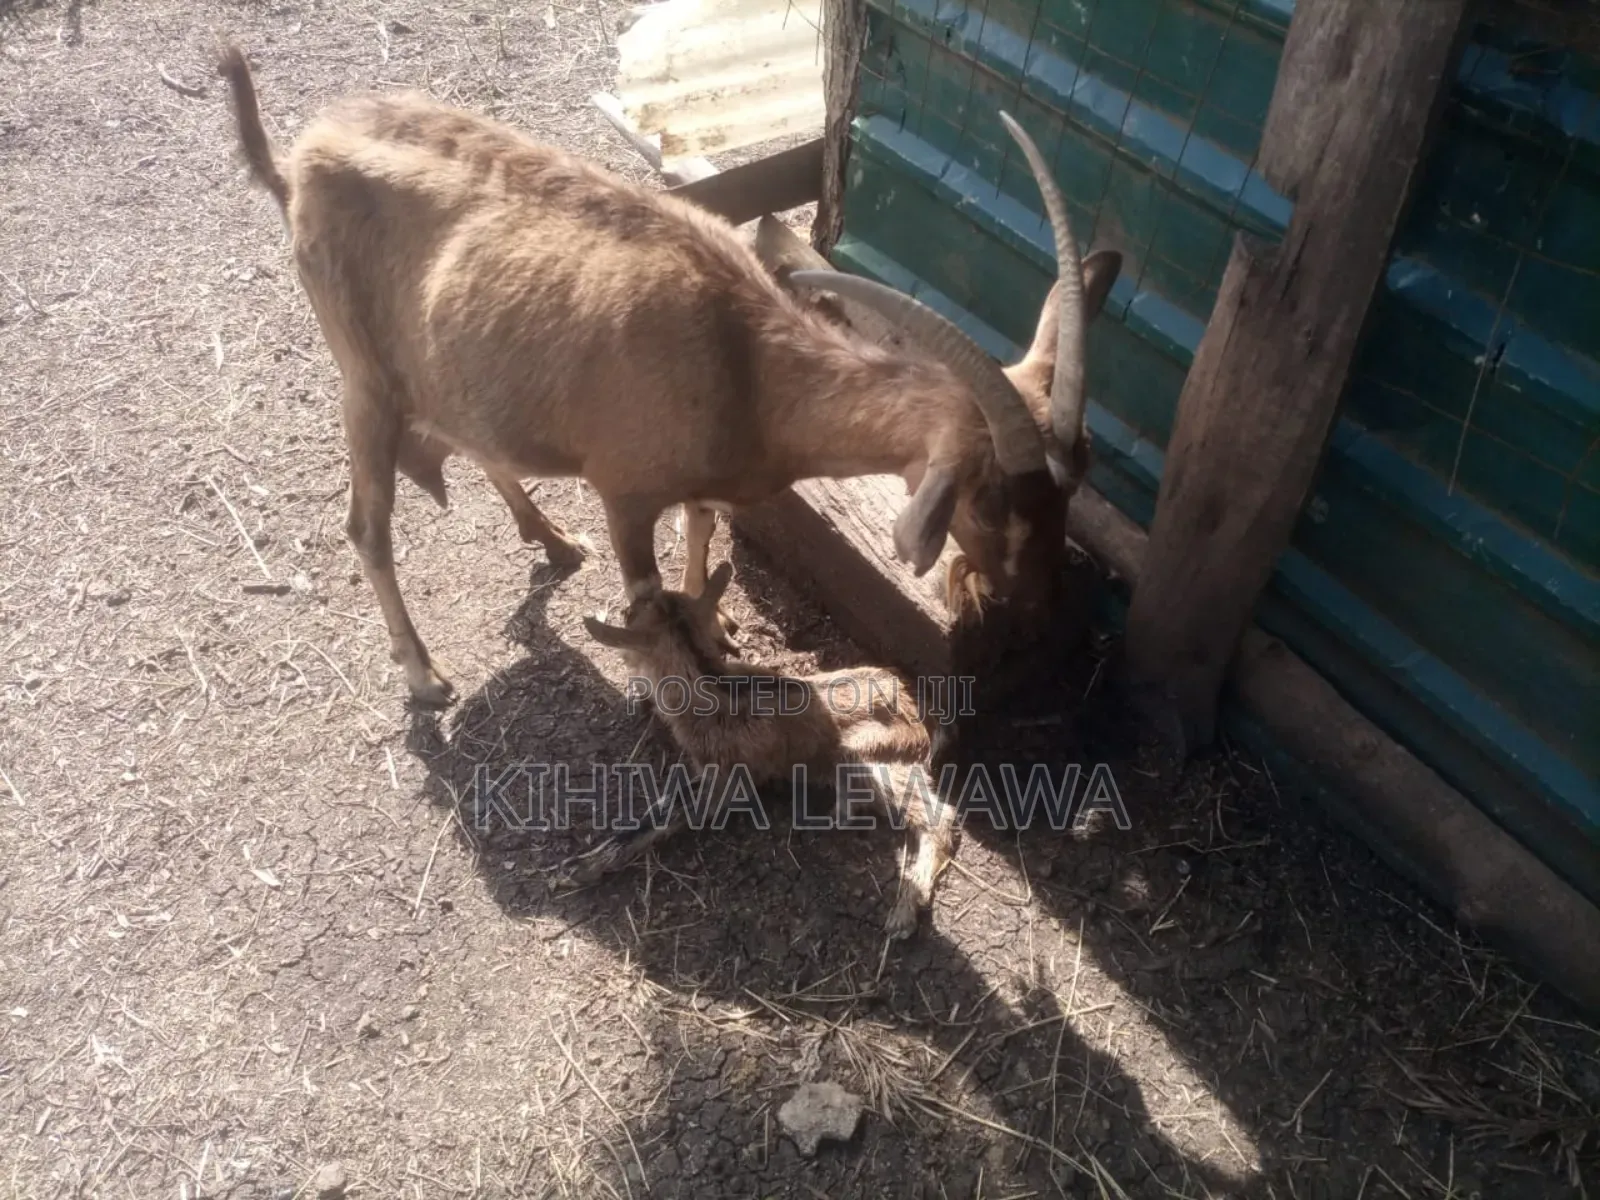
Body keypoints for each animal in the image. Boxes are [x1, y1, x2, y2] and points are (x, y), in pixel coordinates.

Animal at [217, 43, 1122, 707]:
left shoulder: (698, 476)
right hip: (363, 379)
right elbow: (647, 593)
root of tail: (296, 164)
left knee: (474, 436)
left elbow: (702, 532)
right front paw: (673, 688)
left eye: (1079, 475)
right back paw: (424, 676)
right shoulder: (624, 491)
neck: (747, 361)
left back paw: (550, 538)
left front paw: (716, 631)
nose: (1043, 610)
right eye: (990, 496)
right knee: (366, 527)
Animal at [559, 562, 958, 938]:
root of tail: (928, 713)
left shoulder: (727, 779)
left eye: (631, 620)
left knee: (939, 816)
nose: (625, 610)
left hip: (872, 757)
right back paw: (845, 813)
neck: (713, 685)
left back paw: (903, 912)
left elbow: (664, 811)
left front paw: (580, 868)